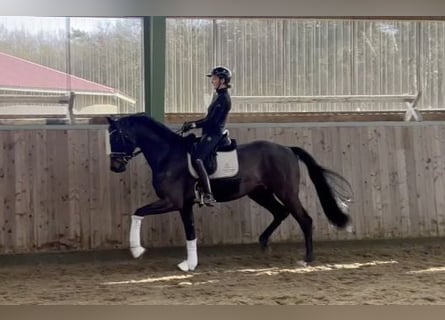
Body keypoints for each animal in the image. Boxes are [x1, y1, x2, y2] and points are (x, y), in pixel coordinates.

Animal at [106, 114, 352, 272]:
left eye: (116, 137)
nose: (115, 167)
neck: (168, 155)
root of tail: (287, 149)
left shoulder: (171, 201)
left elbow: (138, 212)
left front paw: (137, 250)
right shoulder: (184, 204)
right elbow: (190, 232)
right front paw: (190, 264)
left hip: (286, 192)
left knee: (304, 219)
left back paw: (307, 259)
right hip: (260, 193)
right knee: (280, 213)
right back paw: (264, 243)